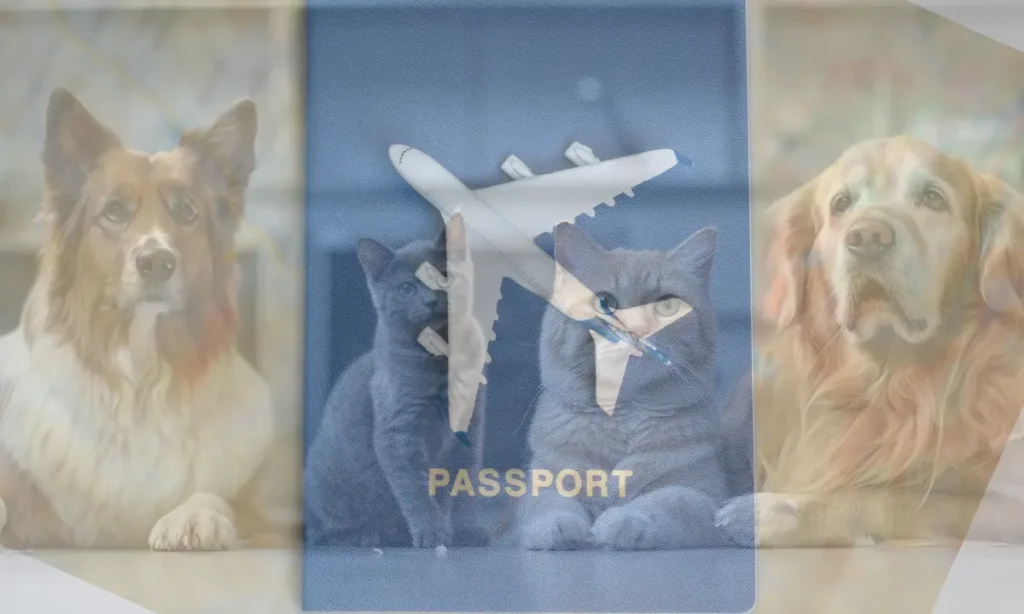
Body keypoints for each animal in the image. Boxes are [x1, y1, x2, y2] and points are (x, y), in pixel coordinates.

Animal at [0, 88, 276, 548]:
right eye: (114, 211)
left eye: (186, 211)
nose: (157, 262)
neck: (142, 381)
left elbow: (221, 497)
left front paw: (193, 516)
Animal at [303, 234, 487, 548]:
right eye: (406, 289)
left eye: (445, 276)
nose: (430, 300)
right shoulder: (398, 431)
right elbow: (415, 490)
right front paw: (431, 531)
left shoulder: (470, 427)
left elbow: (464, 485)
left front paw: (466, 529)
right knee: (322, 533)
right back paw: (366, 536)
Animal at [520, 223, 729, 548]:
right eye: (605, 303)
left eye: (667, 305)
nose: (638, 329)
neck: (622, 415)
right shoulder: (544, 482)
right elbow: (549, 503)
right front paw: (557, 525)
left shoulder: (704, 496)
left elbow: (665, 500)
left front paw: (625, 520)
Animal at [716, 134, 1024, 548]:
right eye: (841, 203)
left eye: (933, 199)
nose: (867, 237)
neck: (893, 384)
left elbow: (898, 496)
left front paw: (777, 509)